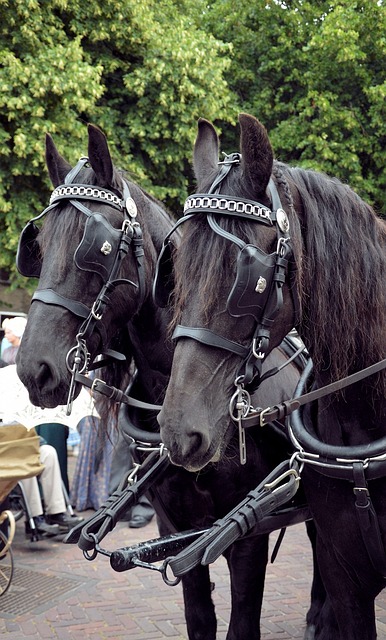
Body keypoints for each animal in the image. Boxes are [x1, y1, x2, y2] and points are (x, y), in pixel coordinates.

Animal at [15, 122, 322, 636]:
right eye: (37, 245)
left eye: (98, 247)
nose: (32, 369)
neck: (167, 391)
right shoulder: (173, 523)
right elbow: (198, 616)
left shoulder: (244, 533)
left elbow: (242, 621)